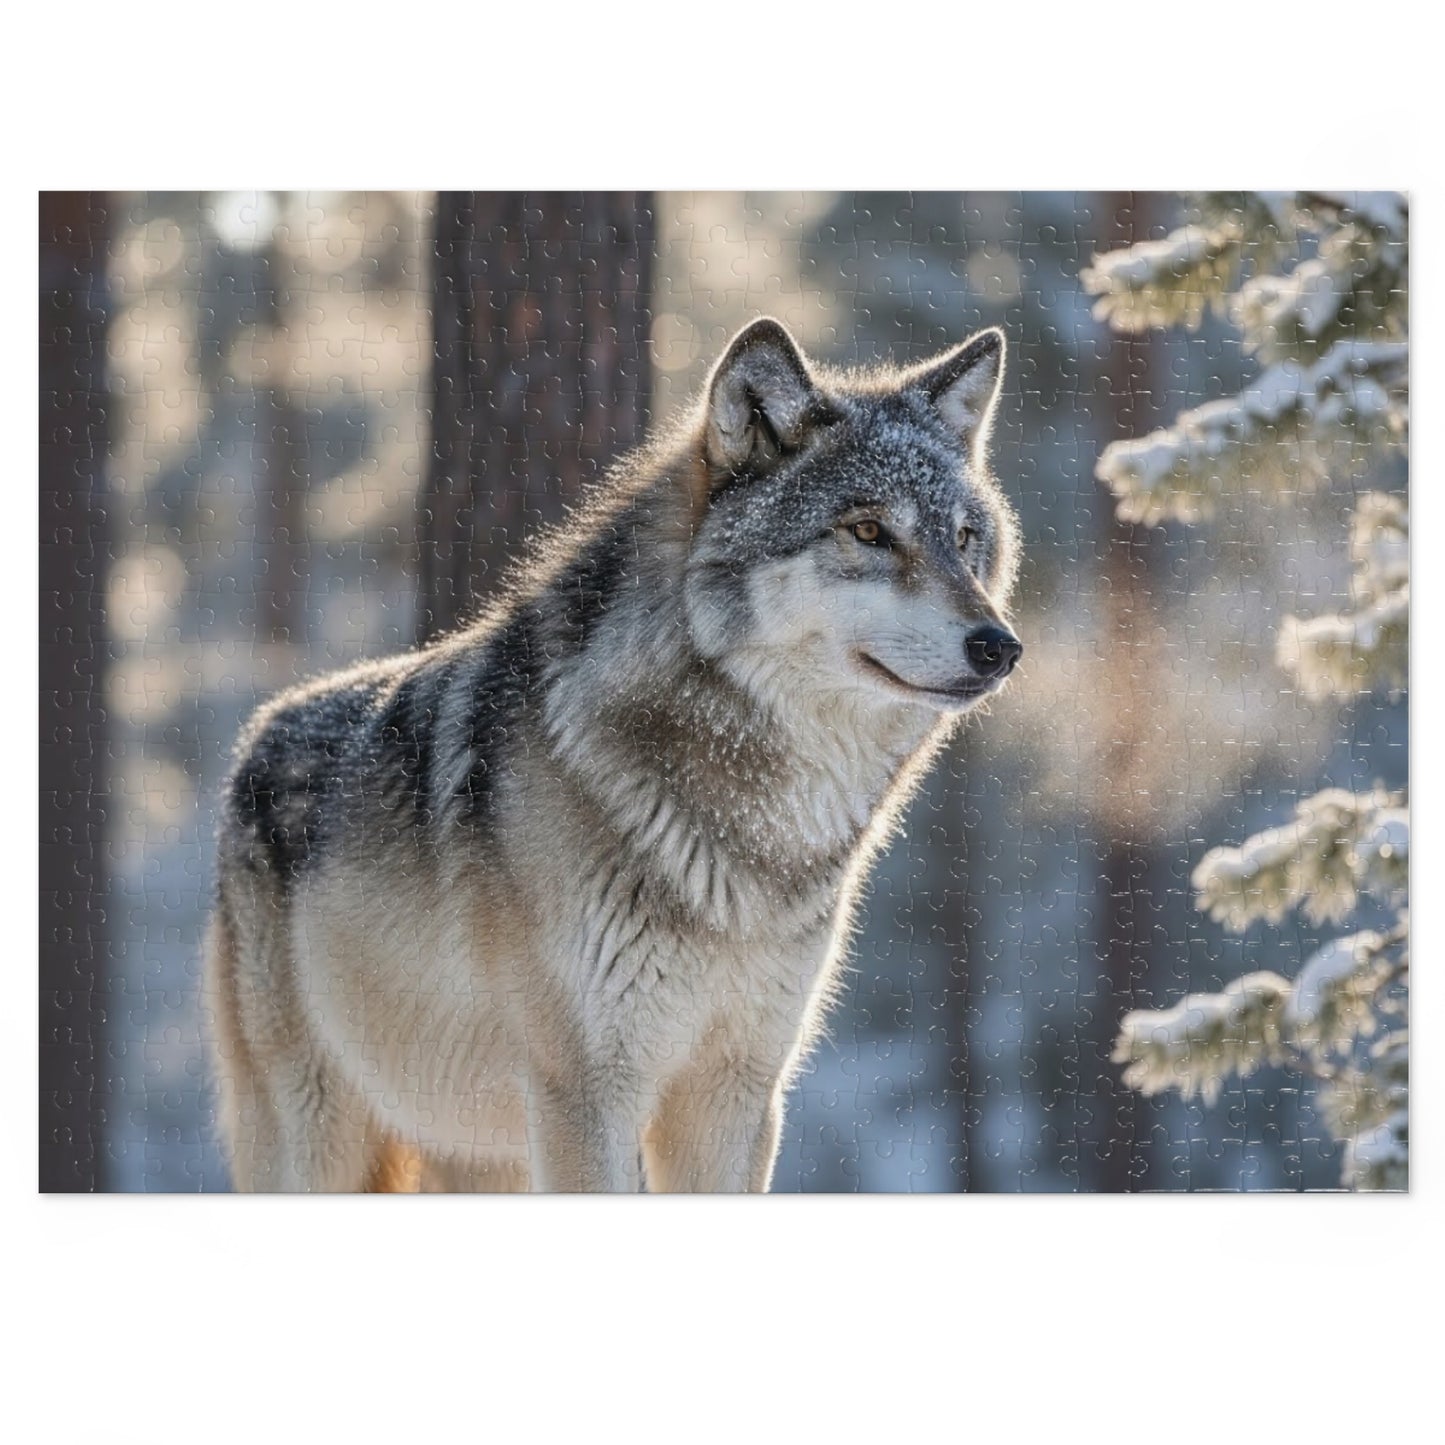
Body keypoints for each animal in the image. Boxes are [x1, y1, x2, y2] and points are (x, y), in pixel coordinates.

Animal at [205, 316, 1023, 1192]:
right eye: (868, 530)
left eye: (964, 539)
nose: (1000, 647)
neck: (756, 837)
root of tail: (260, 729)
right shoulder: (588, 1094)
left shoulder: (737, 1093)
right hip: (316, 1138)